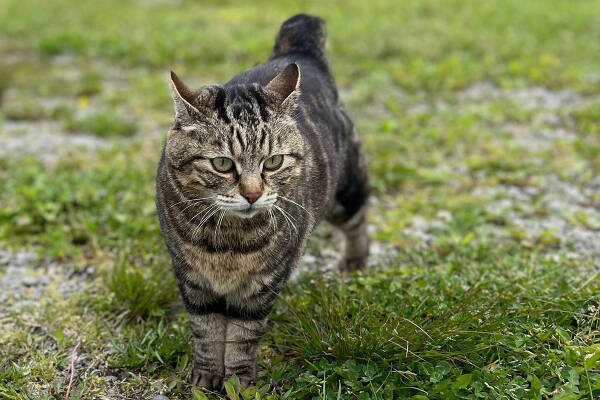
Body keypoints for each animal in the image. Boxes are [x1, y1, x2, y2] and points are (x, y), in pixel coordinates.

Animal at [155, 13, 370, 390]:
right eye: (222, 164)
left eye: (273, 162)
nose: (253, 194)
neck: (228, 242)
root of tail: (299, 50)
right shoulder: (192, 280)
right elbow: (206, 331)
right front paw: (206, 377)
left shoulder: (261, 286)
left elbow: (242, 336)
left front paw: (238, 382)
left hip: (346, 192)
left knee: (359, 220)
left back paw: (355, 261)